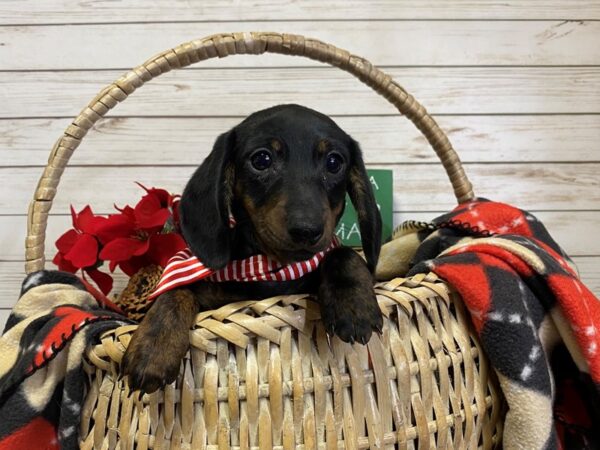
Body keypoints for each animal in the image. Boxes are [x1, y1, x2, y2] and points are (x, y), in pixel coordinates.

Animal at [122, 104, 382, 394]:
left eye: (334, 162)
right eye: (261, 159)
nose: (307, 230)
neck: (268, 267)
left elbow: (341, 252)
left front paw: (353, 304)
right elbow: (176, 291)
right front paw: (154, 347)